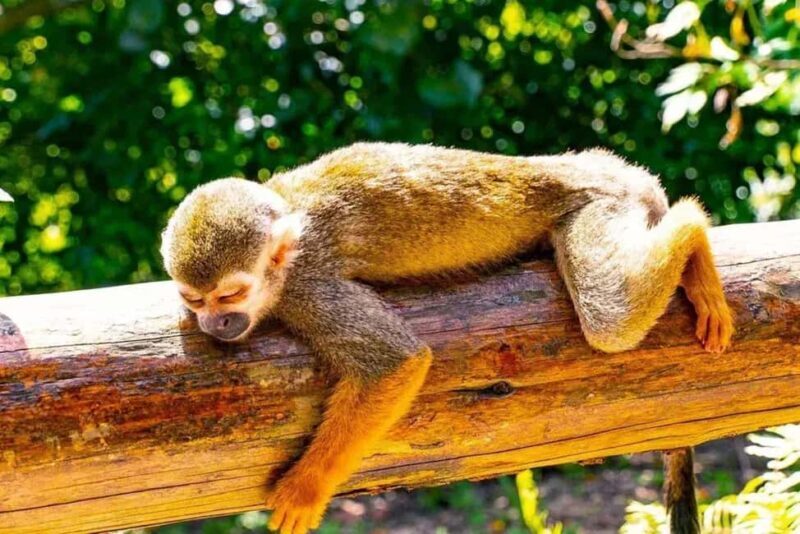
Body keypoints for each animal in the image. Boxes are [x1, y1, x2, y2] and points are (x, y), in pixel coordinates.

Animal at [160, 142, 733, 534]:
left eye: (231, 296)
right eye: (196, 300)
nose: (215, 325)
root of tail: (615, 169)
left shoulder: (307, 283)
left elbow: (395, 361)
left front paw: (306, 488)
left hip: (603, 203)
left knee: (611, 319)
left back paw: (692, 227)